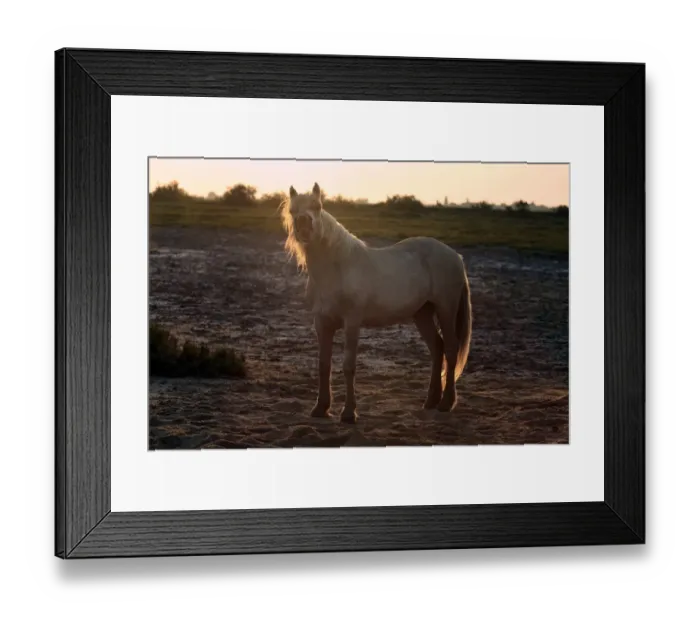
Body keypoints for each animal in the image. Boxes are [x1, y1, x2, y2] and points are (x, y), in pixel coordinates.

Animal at [280, 182, 472, 424]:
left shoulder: (352, 322)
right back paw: (430, 401)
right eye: (292, 210)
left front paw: (349, 413)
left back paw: (446, 403)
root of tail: (455, 256)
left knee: (450, 348)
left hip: (446, 308)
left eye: (317, 206)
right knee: (437, 347)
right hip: (422, 313)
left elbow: (348, 366)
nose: (304, 225)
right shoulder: (322, 323)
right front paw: (321, 408)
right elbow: (324, 365)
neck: (337, 269)